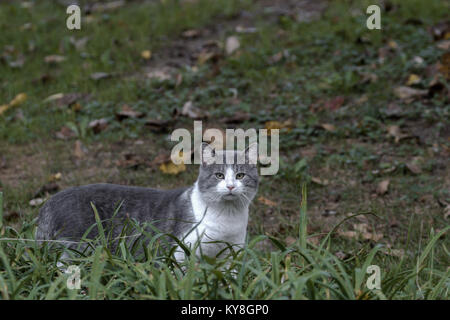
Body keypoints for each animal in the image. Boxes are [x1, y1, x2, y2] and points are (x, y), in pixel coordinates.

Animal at [35, 144, 258, 264]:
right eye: (219, 175)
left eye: (240, 175)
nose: (230, 186)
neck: (226, 220)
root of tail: (49, 202)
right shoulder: (178, 252)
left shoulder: (232, 256)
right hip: (77, 248)